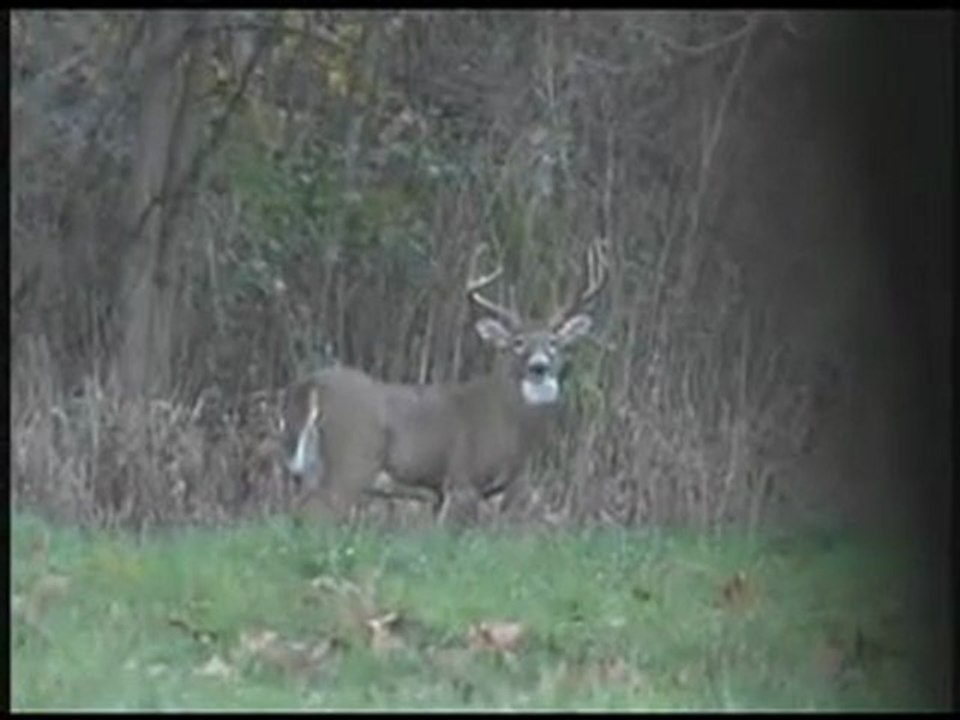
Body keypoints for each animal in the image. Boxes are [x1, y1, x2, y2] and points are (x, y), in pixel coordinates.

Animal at [279, 239, 609, 526]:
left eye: (554, 342)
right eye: (518, 343)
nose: (539, 366)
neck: (512, 422)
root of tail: (312, 386)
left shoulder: (444, 492)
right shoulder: (463, 479)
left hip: (308, 467)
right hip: (352, 459)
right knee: (317, 513)